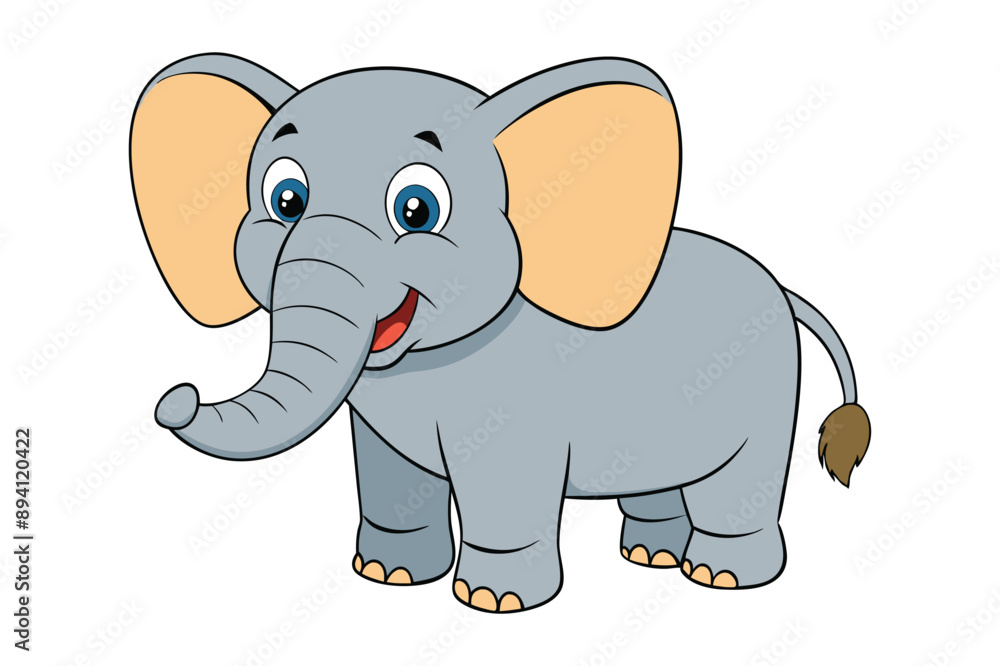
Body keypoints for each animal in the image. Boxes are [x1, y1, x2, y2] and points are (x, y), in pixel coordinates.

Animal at [130, 53, 871, 612]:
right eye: (286, 200)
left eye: (417, 210)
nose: (175, 397)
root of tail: (784, 290)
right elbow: (391, 472)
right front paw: (388, 577)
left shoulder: (517, 408)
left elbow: (504, 484)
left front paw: (493, 601)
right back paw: (650, 555)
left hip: (769, 385)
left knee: (740, 482)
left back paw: (719, 577)